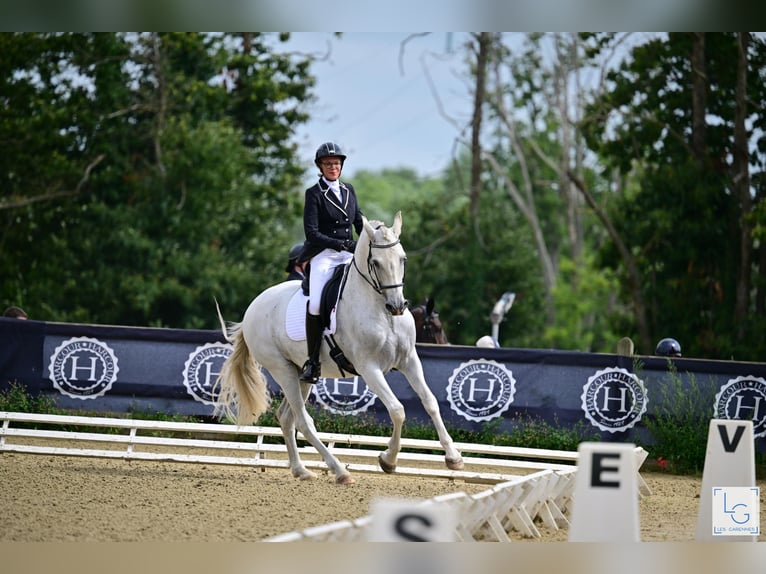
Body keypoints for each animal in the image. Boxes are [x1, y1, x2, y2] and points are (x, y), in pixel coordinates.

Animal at [218, 212, 468, 486]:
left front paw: (454, 458)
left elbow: (430, 402)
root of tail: (253, 308)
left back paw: (301, 470)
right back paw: (340, 471)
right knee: (303, 421)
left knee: (286, 417)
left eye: (402, 259)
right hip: (282, 370)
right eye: (376, 263)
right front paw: (388, 460)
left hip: (300, 373)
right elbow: (397, 410)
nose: (397, 306)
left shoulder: (409, 361)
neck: (382, 311)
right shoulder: (369, 368)